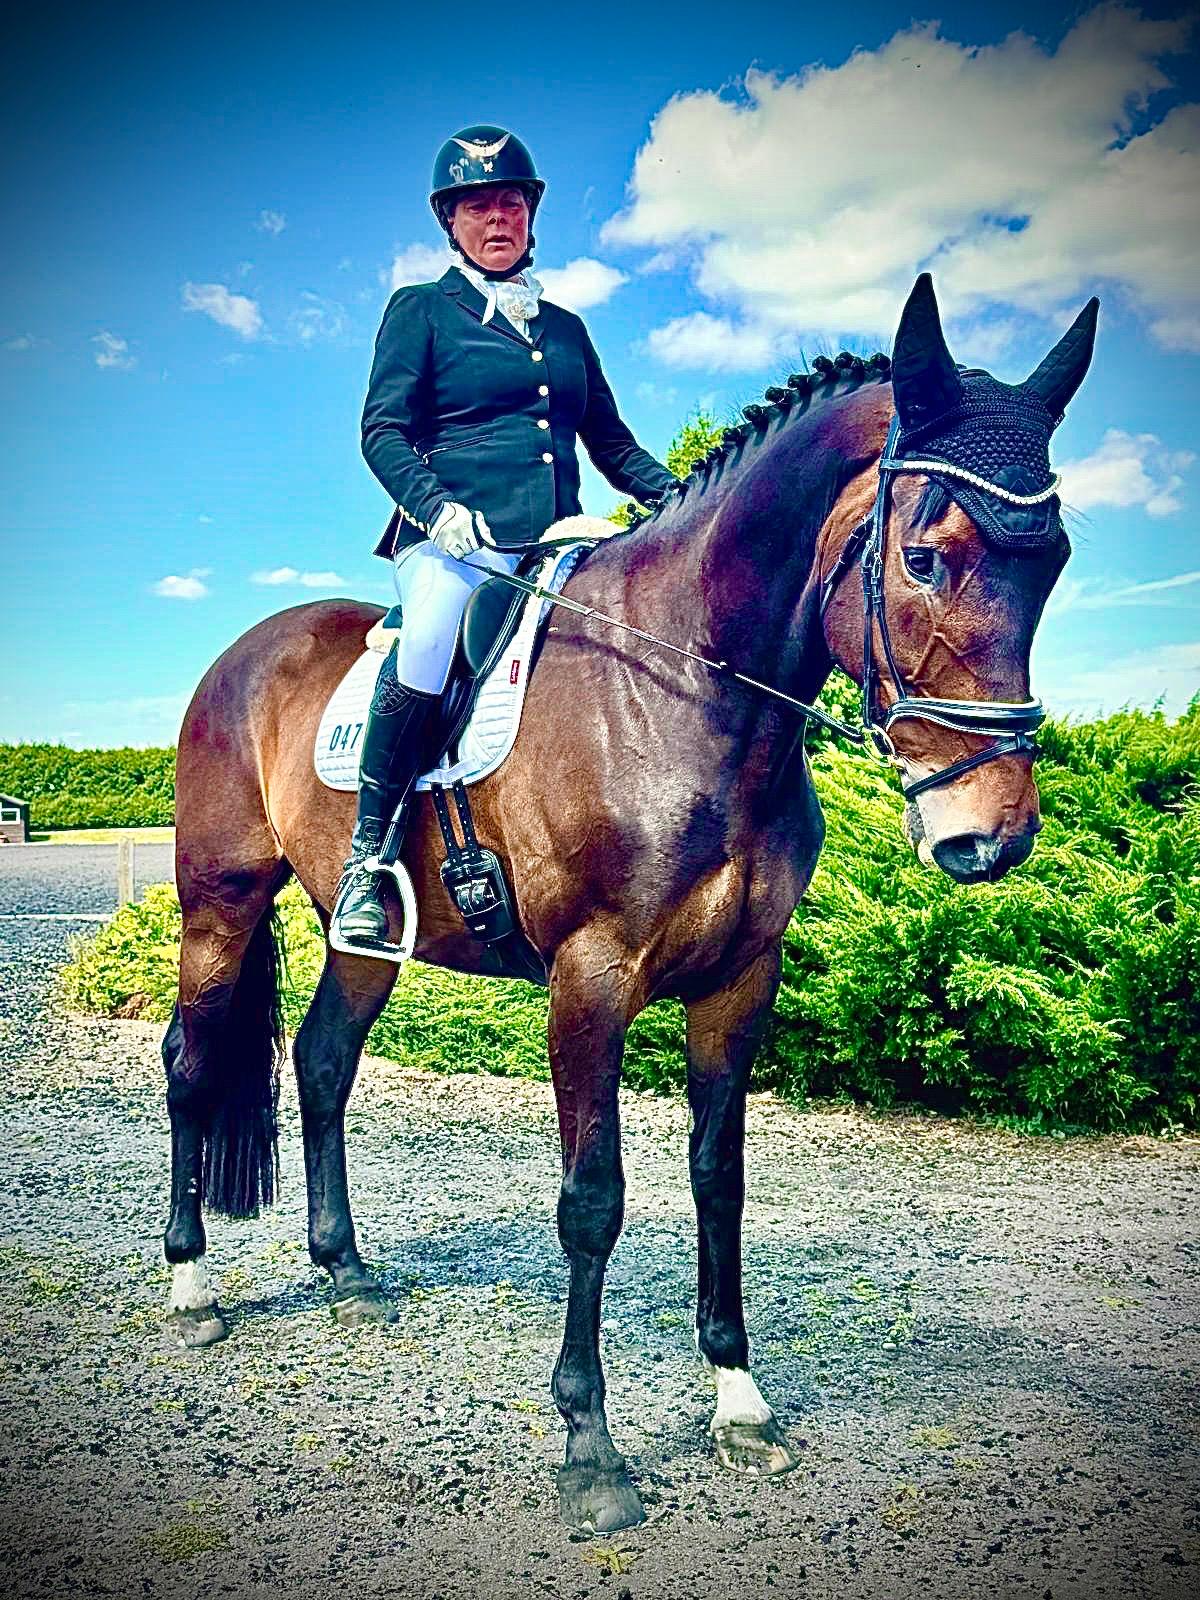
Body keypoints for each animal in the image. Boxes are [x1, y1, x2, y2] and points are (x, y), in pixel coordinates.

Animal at [161, 274, 1097, 1535]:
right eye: (926, 555)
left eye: (1054, 562)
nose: (988, 834)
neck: (691, 693)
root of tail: (244, 651)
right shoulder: (590, 977)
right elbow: (592, 1199)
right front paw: (591, 1447)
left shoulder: (744, 977)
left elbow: (719, 1177)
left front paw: (739, 1401)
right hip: (216, 900)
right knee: (192, 1061)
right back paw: (192, 1286)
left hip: (372, 940)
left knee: (319, 1061)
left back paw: (346, 1269)